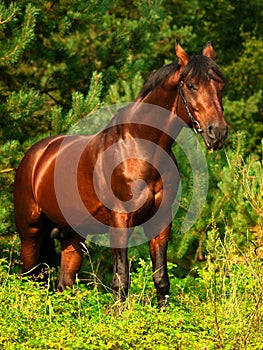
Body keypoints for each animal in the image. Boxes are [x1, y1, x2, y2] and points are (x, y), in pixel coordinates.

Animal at [13, 41, 228, 306]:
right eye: (190, 85)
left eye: (220, 85)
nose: (217, 132)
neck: (140, 147)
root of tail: (36, 156)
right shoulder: (120, 221)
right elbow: (121, 282)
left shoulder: (160, 223)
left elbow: (161, 281)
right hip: (30, 233)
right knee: (30, 281)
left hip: (72, 237)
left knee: (64, 284)